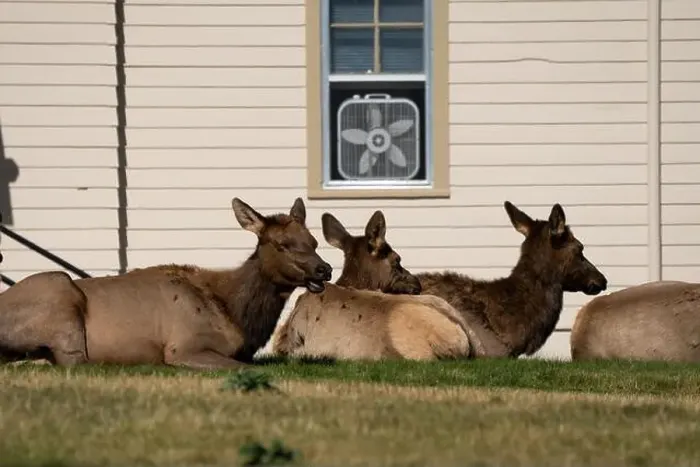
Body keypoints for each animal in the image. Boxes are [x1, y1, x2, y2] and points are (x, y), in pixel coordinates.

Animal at [0, 197, 332, 369]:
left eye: (314, 241)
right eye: (282, 244)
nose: (324, 269)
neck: (235, 315)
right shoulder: (184, 345)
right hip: (58, 292)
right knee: (76, 361)